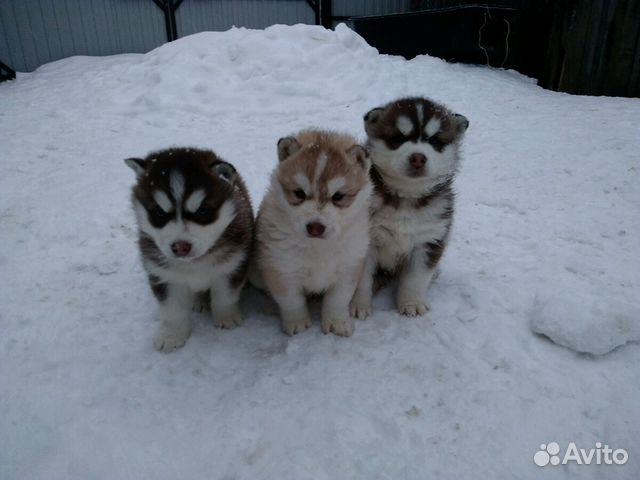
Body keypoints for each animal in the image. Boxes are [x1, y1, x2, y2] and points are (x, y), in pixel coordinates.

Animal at [124, 147, 254, 352]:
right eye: (159, 213)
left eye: (202, 211)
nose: (180, 247)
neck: (194, 263)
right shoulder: (164, 276)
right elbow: (172, 310)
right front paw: (171, 336)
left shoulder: (231, 266)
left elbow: (224, 297)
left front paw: (227, 318)